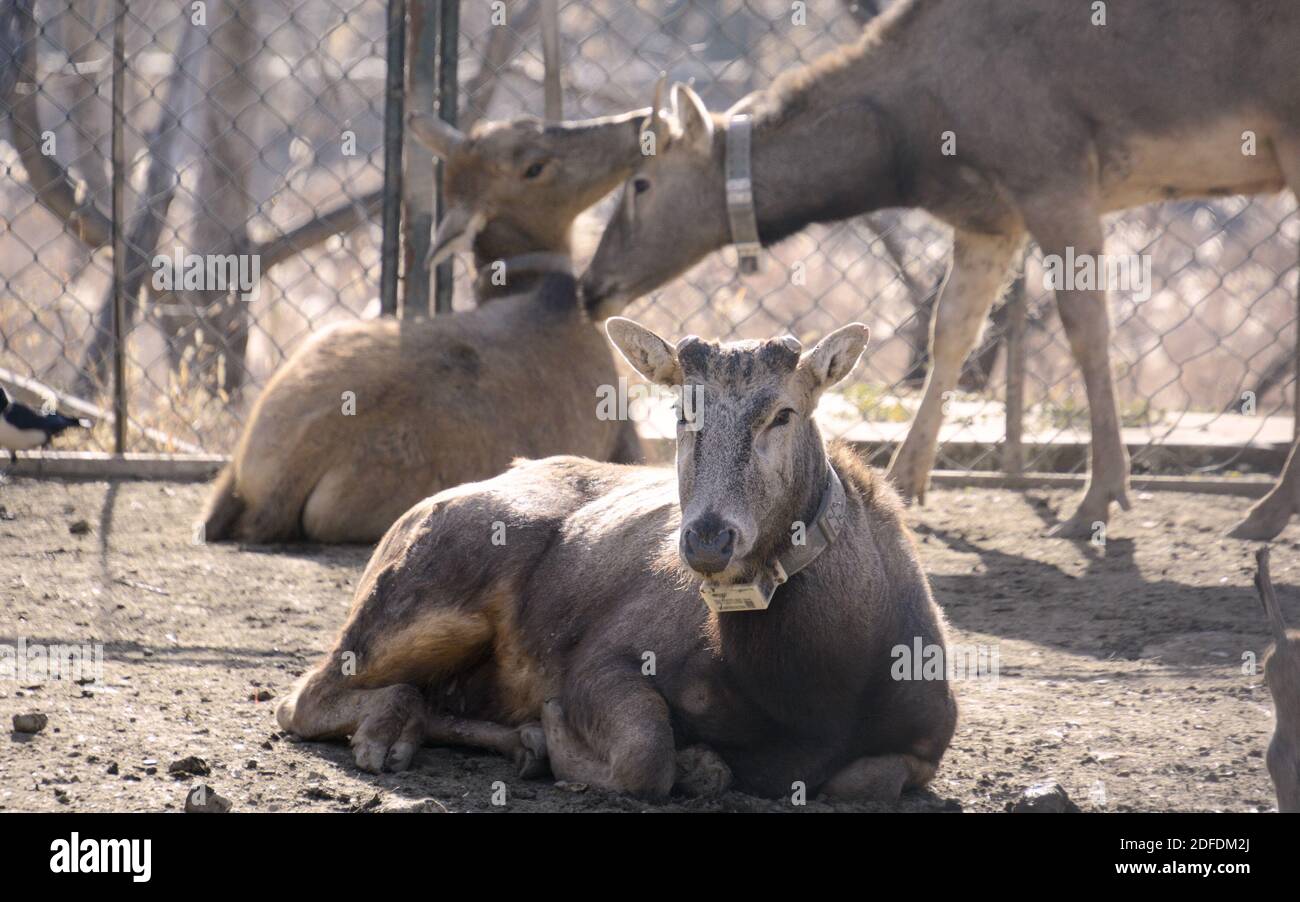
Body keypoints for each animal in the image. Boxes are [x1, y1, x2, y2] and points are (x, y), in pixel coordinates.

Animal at [276, 319, 956, 805]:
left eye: (784, 413)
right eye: (681, 411)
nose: (708, 539)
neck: (811, 689)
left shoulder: (929, 738)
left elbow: (865, 781)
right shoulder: (601, 660)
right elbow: (644, 755)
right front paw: (676, 760)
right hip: (431, 591)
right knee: (305, 696)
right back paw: (391, 729)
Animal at [582, 0, 1300, 538]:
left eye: (641, 182)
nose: (592, 287)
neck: (909, 145)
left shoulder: (1054, 174)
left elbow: (1086, 330)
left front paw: (1100, 496)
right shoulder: (991, 218)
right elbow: (951, 328)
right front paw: (902, 481)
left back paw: (1265, 513)